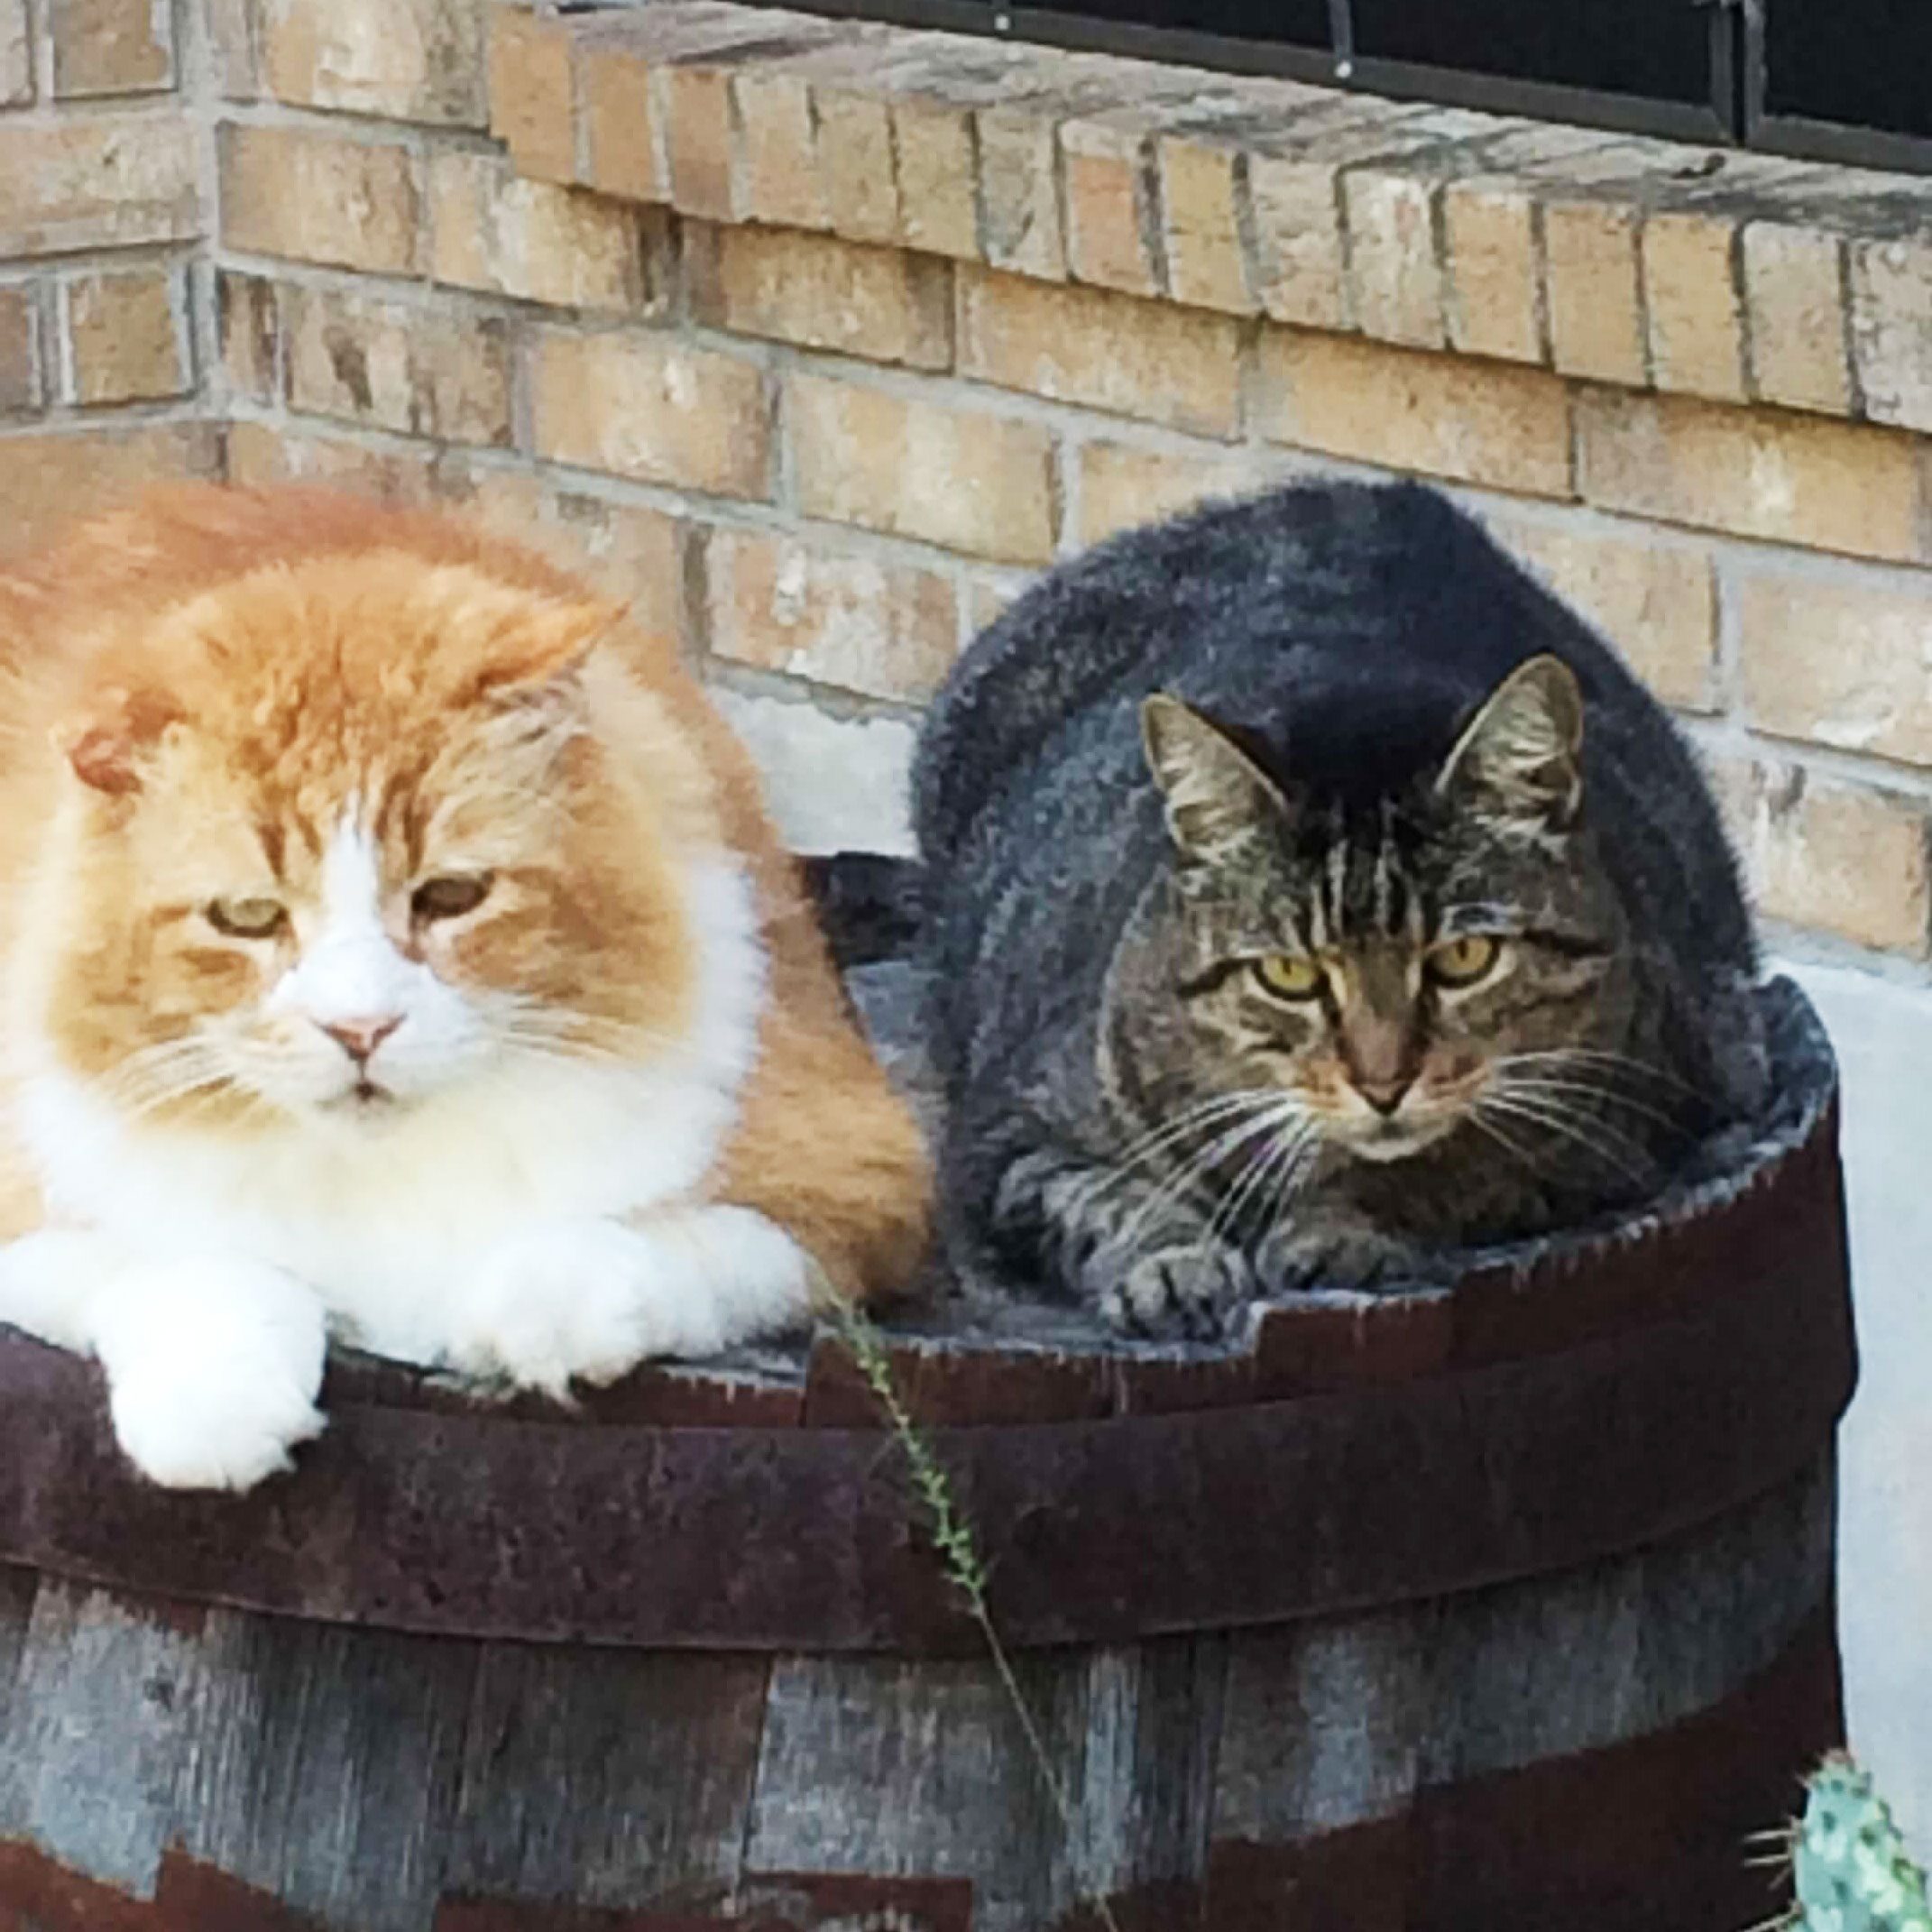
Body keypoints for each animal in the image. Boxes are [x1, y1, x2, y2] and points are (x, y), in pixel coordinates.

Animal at [0, 483, 927, 1491]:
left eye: (451, 896)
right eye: (247, 916)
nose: (361, 1029)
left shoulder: (847, 1182)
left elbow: (655, 1247)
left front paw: (539, 1310)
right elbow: (168, 1268)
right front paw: (216, 1399)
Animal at [919, 477, 1770, 1337]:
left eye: (1465, 958)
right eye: (1288, 974)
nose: (1382, 1083)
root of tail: (1371, 492)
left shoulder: (1638, 1117)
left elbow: (1460, 1171)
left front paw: (1338, 1226)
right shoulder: (1006, 1134)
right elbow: (1106, 1196)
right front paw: (1171, 1264)